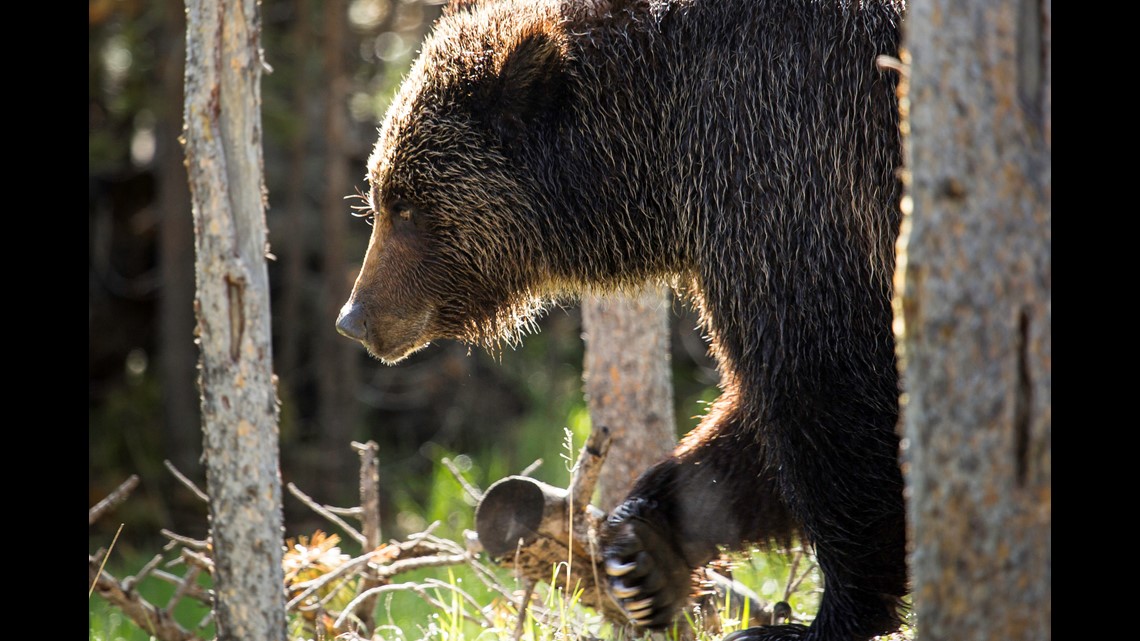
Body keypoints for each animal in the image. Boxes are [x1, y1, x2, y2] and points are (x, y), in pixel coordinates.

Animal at [335, 1, 907, 638]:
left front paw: (824, 615)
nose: (354, 318)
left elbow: (825, 381)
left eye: (405, 206)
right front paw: (646, 553)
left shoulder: (788, 171)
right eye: (378, 193)